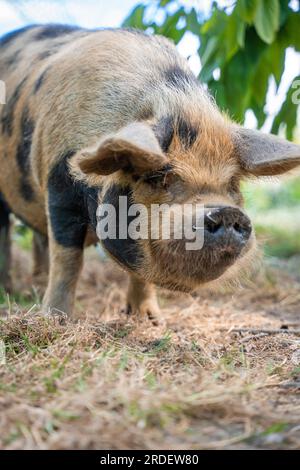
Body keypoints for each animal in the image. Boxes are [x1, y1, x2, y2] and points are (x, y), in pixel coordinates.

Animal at [0, 26, 300, 320]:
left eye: (232, 184)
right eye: (160, 176)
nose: (227, 212)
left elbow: (141, 274)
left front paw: (149, 319)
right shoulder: (58, 181)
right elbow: (68, 258)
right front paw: (55, 319)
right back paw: (11, 292)